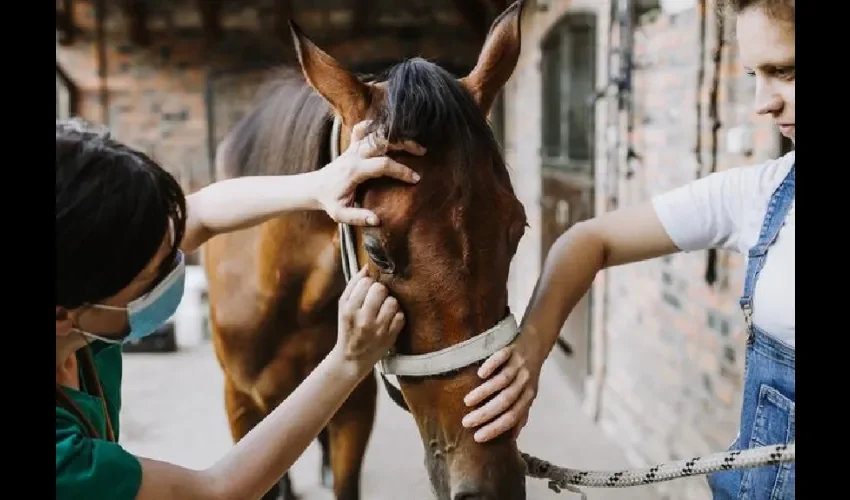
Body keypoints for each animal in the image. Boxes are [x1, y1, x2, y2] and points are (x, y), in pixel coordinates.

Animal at [201, 1, 528, 498]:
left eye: (519, 229)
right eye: (377, 251)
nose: (492, 485)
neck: (284, 290)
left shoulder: (355, 403)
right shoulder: (239, 405)